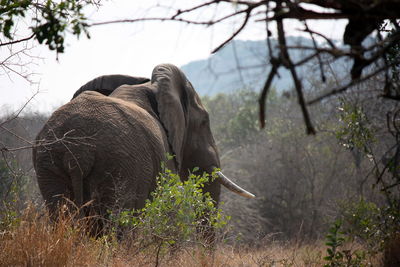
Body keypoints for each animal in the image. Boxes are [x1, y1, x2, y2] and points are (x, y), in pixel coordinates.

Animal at [32, 63, 255, 238]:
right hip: (119, 166)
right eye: (204, 122)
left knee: (61, 215)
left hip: (49, 165)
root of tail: (77, 150)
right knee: (118, 224)